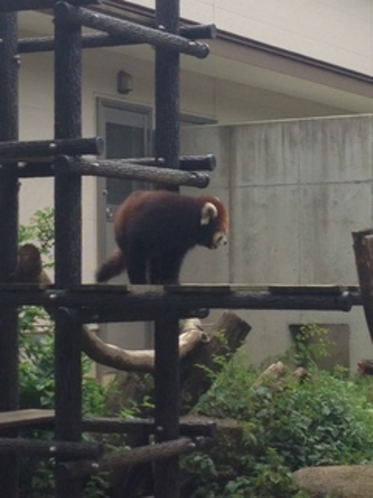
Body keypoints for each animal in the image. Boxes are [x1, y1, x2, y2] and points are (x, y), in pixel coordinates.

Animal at [95, 190, 227, 286]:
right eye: (221, 231)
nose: (226, 242)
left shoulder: (179, 244)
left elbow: (174, 260)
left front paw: (172, 281)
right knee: (137, 257)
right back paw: (140, 281)